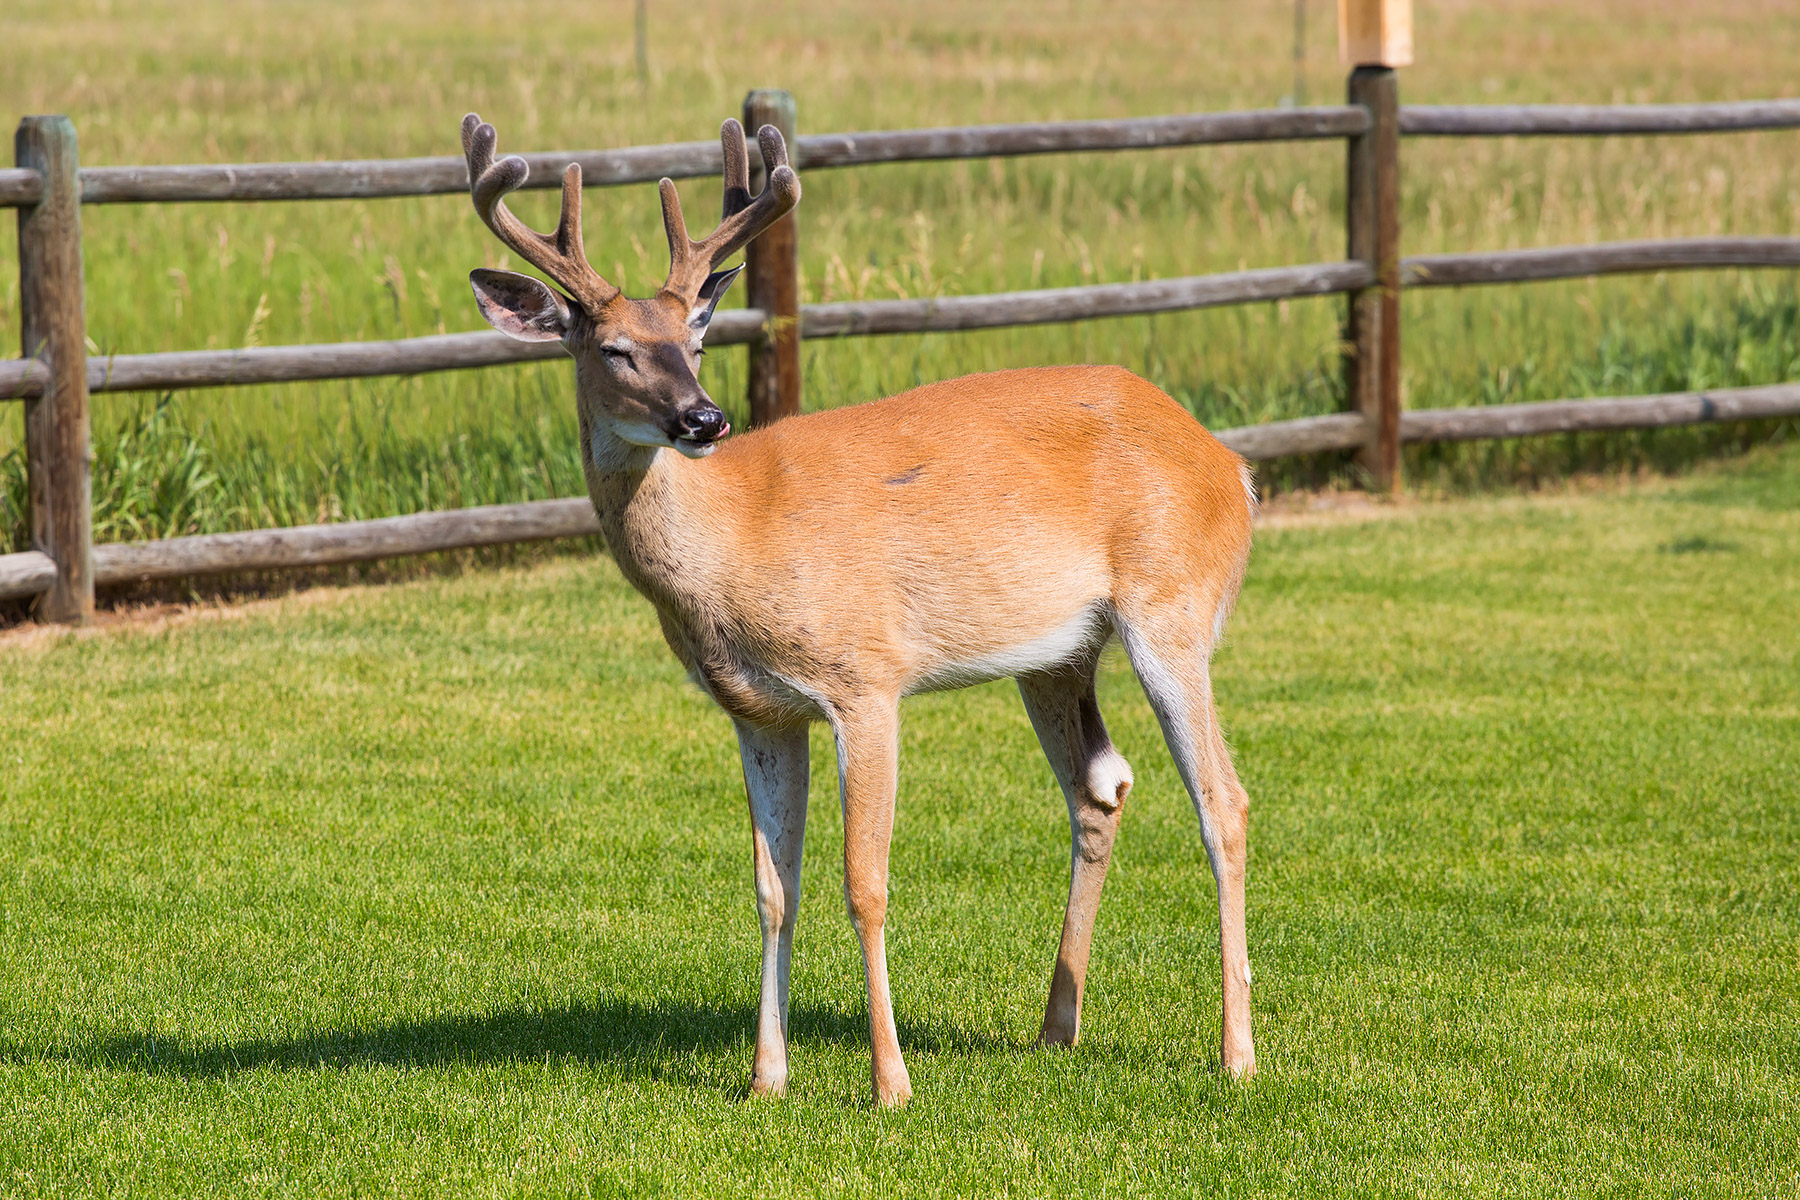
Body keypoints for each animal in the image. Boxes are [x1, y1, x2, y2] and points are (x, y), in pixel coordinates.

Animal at [458, 111, 1259, 1107]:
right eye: (614, 348)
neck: (737, 542)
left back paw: (1237, 1053)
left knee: (1223, 801)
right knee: (1100, 789)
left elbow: (863, 881)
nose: (703, 419)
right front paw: (766, 1076)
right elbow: (774, 886)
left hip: (1173, 606)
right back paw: (1055, 1029)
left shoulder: (864, 677)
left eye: (694, 338)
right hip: (1056, 654)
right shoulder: (759, 711)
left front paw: (891, 1083)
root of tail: (1233, 465)